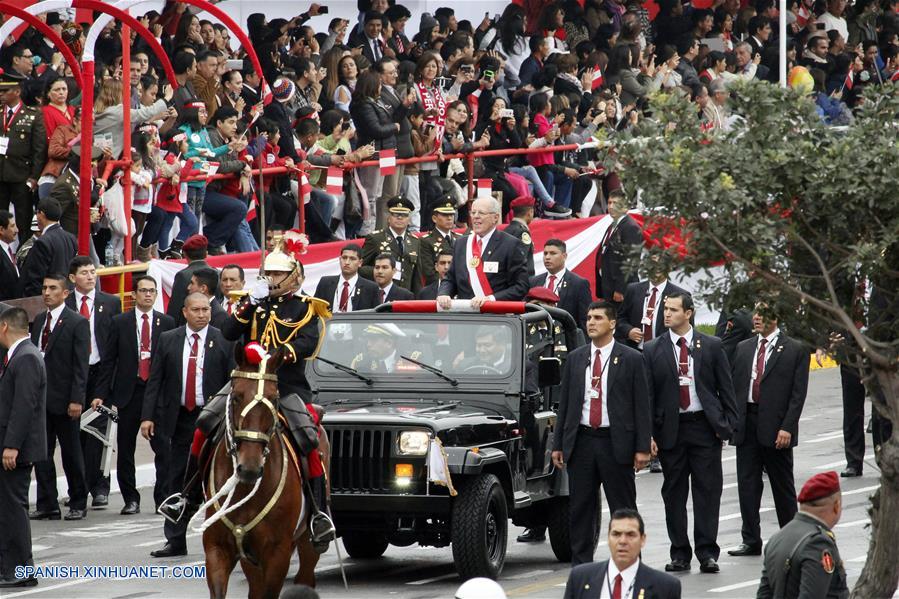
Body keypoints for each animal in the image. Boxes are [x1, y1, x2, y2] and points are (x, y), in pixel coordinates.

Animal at [200, 346, 330, 599]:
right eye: (237, 396)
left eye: (272, 398)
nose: (249, 469)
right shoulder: (216, 550)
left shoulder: (276, 554)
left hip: (306, 545)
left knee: (305, 577)